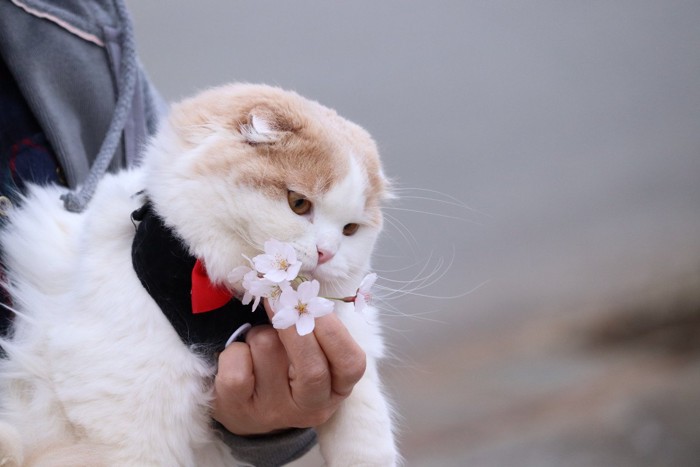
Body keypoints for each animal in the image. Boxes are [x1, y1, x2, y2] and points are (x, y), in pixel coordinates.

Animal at [0, 85, 396, 467]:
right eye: (299, 204)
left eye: (349, 230)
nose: (326, 252)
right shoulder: (124, 414)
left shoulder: (354, 338)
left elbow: (367, 432)